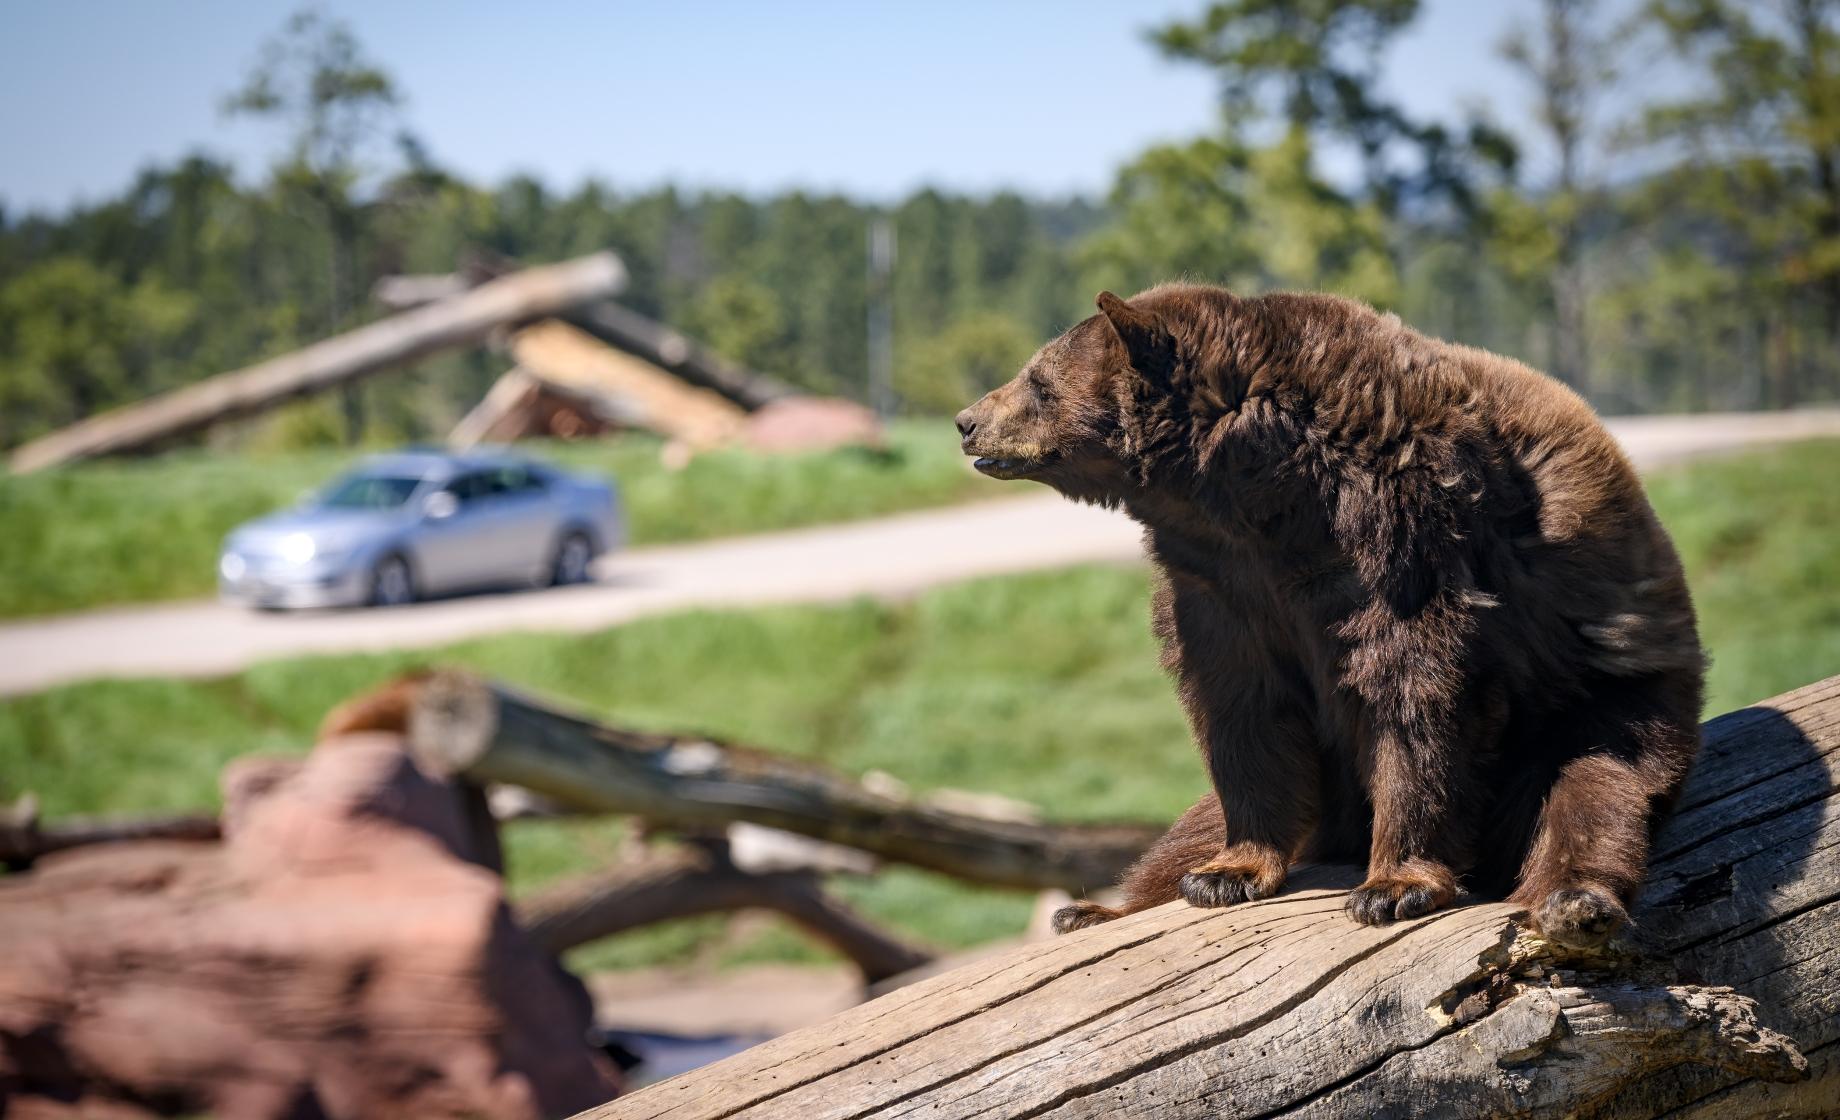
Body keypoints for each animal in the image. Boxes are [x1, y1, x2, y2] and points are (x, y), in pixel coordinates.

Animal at [956, 281, 1700, 941]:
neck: (1261, 497)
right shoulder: (1220, 584)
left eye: (1037, 382)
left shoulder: (1404, 539)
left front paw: (1393, 885)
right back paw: (1093, 911)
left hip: (1607, 704)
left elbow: (1417, 694)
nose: (967, 422)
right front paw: (1226, 871)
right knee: (1183, 832)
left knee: (1591, 791)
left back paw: (1574, 903)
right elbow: (1241, 709)